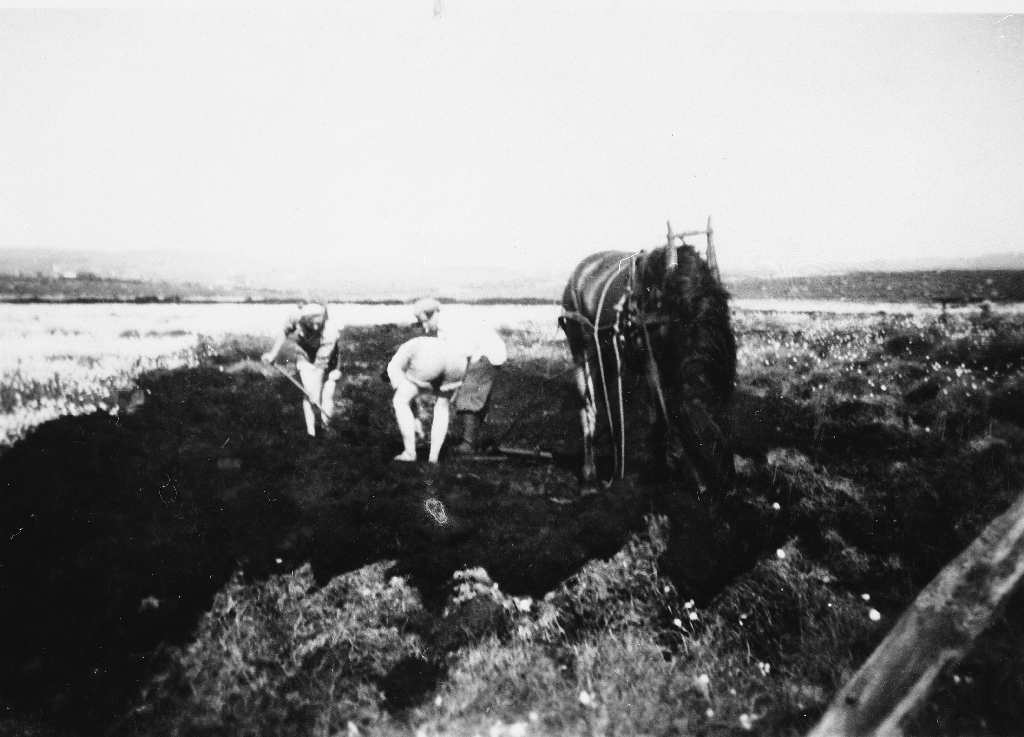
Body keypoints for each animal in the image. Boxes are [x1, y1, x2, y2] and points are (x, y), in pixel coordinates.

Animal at [561, 219, 737, 495]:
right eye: (699, 442)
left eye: (723, 433)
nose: (727, 488)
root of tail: (578, 273)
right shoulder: (653, 366)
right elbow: (662, 418)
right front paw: (669, 469)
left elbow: (663, 414)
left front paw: (665, 465)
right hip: (581, 349)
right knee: (586, 409)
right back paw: (589, 477)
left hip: (608, 356)